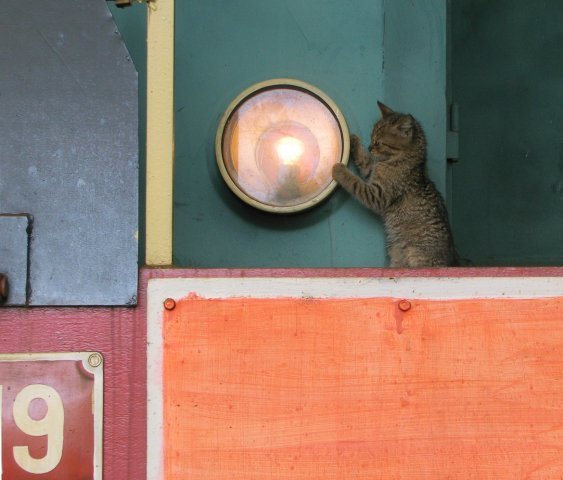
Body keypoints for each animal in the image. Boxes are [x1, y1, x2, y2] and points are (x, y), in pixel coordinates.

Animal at [330, 101, 458, 268]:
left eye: (378, 142)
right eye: (371, 138)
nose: (370, 147)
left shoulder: (378, 194)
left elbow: (355, 182)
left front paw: (339, 170)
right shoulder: (371, 171)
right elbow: (365, 161)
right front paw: (355, 143)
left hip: (415, 255)